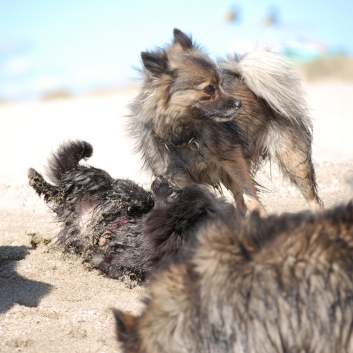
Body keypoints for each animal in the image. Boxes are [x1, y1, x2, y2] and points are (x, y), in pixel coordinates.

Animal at [28, 140, 232, 280]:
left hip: (75, 215)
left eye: (175, 195)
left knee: (57, 191)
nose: (160, 178)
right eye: (177, 189)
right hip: (94, 182)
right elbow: (139, 197)